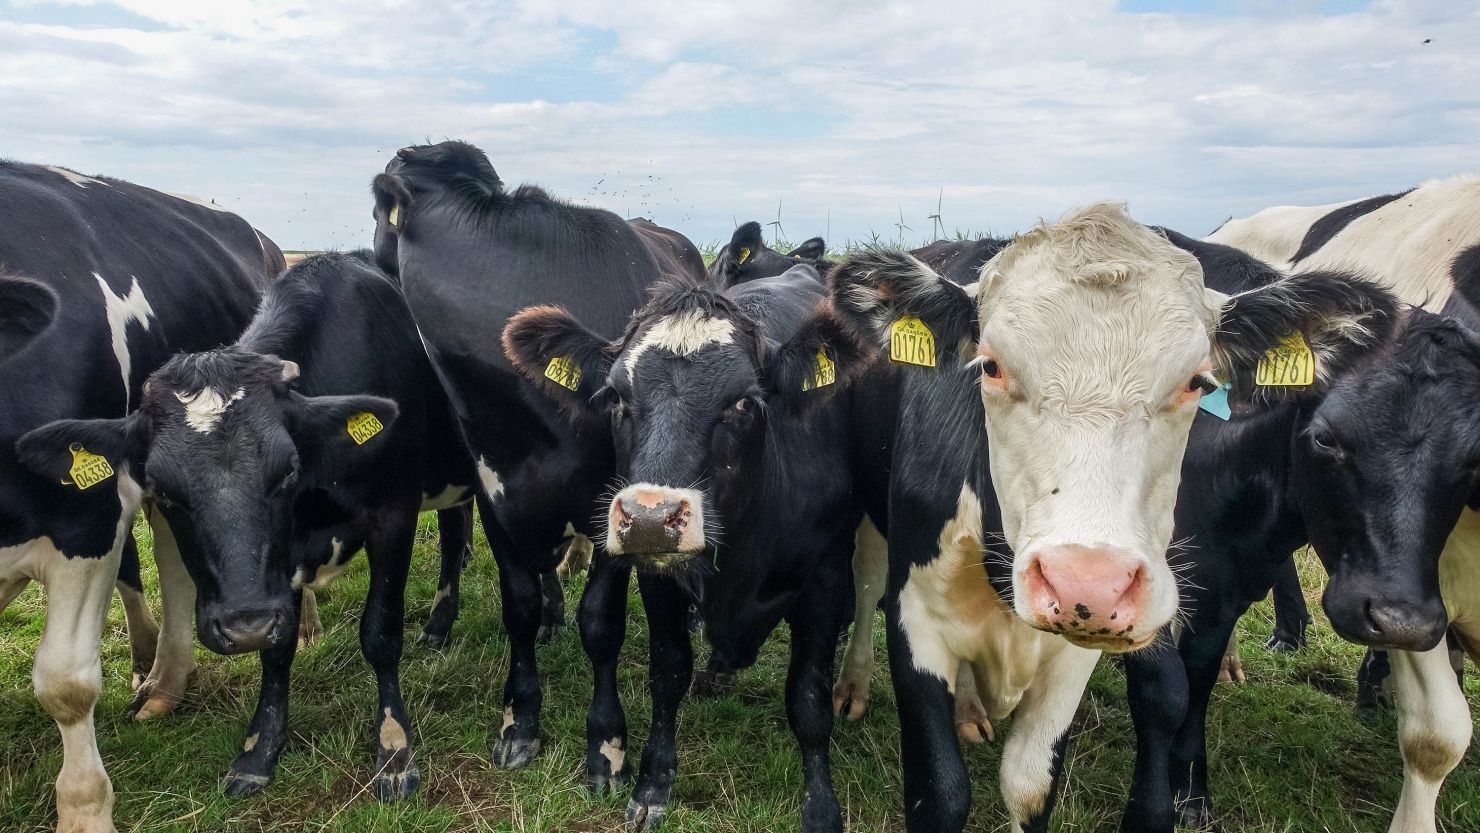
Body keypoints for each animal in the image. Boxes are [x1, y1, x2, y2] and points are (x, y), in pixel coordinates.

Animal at [20, 253, 473, 798]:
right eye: (162, 490)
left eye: (288, 471)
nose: (244, 625)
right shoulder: (281, 563)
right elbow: (277, 652)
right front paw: (260, 749)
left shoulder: (393, 514)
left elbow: (380, 632)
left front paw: (395, 749)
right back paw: (440, 625)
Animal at [365, 143, 704, 775]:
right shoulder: (496, 492)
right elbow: (517, 607)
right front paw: (519, 719)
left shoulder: (618, 502)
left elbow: (601, 622)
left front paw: (606, 741)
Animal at [509, 266, 870, 833]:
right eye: (615, 396)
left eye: (744, 402)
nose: (649, 518)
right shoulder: (659, 579)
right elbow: (668, 671)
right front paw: (653, 782)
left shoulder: (825, 576)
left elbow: (809, 700)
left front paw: (821, 807)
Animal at [834, 204, 1397, 833]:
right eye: (992, 367)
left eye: (1197, 381)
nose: (1087, 584)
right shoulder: (918, 621)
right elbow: (941, 794)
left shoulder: (1073, 653)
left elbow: (1030, 788)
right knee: (866, 585)